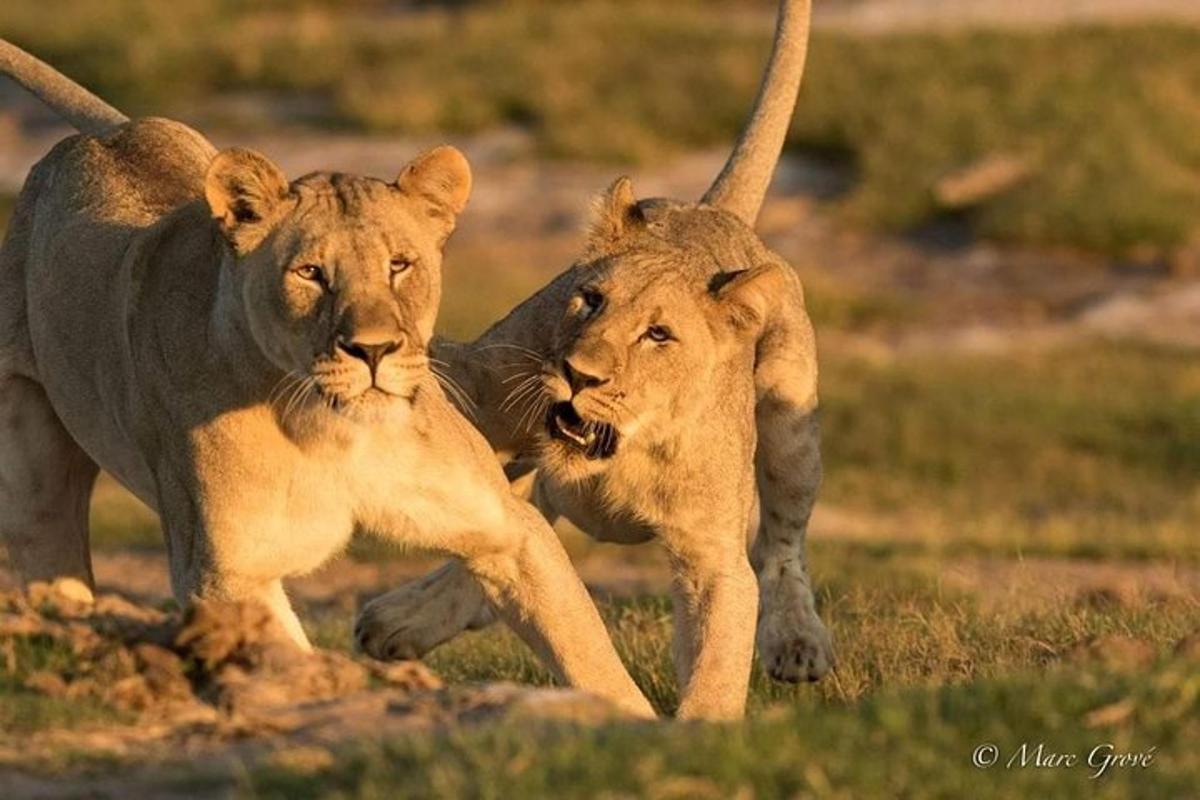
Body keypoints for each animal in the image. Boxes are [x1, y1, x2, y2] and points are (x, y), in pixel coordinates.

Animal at [0, 42, 657, 719]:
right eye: (310, 273)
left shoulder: (507, 529)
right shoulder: (222, 577)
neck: (333, 431)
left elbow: (587, 651)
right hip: (33, 471)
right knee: (52, 559)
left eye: (399, 265)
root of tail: (106, 137)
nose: (373, 349)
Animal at [357, 0, 835, 719]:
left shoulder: (712, 556)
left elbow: (721, 650)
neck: (624, 452)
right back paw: (399, 621)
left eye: (658, 335)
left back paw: (799, 644)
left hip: (790, 418)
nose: (579, 374)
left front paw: (704, 728)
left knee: (782, 542)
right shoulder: (489, 383)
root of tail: (710, 208)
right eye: (589, 299)